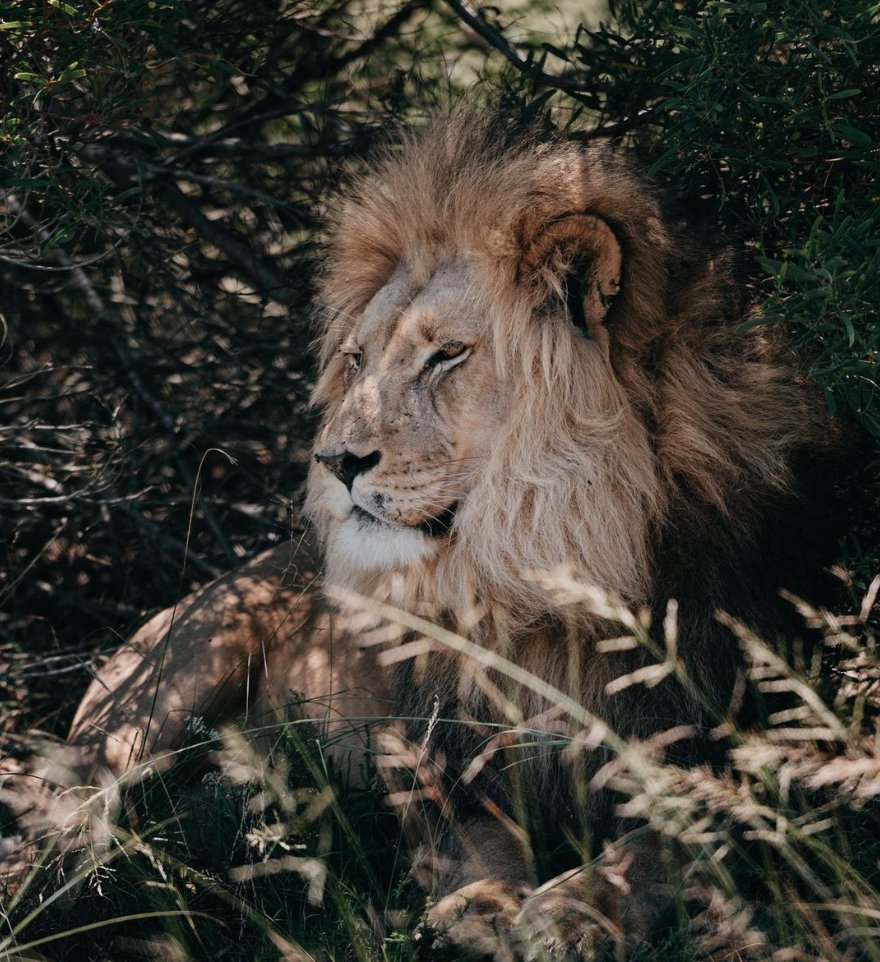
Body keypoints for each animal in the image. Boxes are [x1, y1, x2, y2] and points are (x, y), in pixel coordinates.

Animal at [67, 109, 844, 957]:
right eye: (356, 361)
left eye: (446, 356)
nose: (334, 460)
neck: (553, 576)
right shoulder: (441, 761)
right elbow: (468, 845)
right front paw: (481, 908)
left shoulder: (748, 751)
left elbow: (663, 841)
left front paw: (573, 911)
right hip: (170, 683)